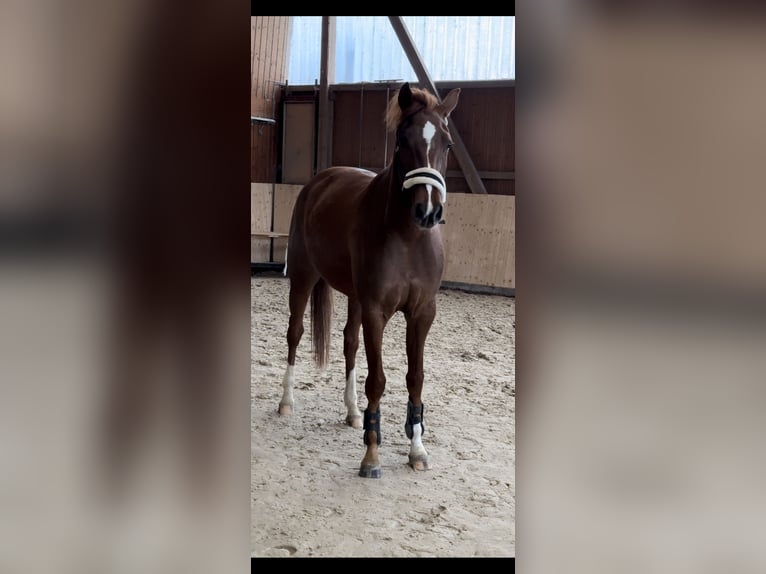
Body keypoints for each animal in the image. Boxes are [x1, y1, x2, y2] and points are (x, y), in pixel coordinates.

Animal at [280, 81, 462, 476]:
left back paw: (351, 412)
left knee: (349, 343)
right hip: (303, 278)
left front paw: (417, 449)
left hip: (354, 297)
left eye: (446, 143)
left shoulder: (422, 313)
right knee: (294, 335)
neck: (408, 237)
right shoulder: (376, 311)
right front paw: (372, 453)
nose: (428, 211)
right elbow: (377, 380)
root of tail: (320, 180)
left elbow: (415, 377)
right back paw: (285, 401)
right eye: (402, 140)